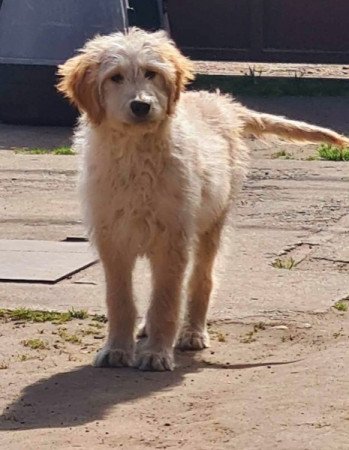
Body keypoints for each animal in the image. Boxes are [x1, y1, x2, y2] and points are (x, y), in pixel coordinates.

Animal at [57, 29, 348, 372]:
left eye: (151, 73)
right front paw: (116, 348)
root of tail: (223, 103)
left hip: (211, 224)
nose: (141, 106)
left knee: (201, 280)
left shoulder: (173, 237)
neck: (137, 154)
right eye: (115, 77)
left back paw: (192, 332)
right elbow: (120, 300)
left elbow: (166, 300)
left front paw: (157, 353)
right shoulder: (113, 237)